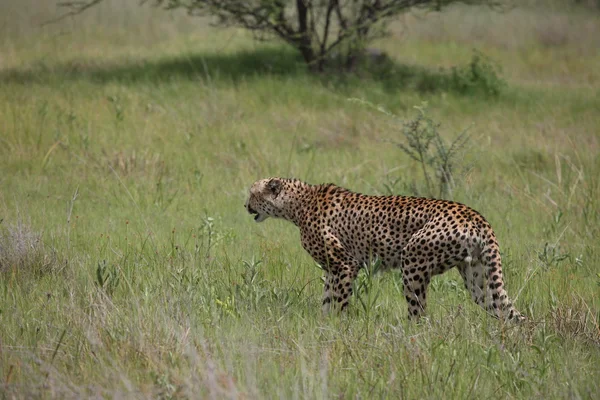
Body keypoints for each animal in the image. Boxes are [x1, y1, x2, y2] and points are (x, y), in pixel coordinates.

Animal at [244, 178, 524, 322]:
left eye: (252, 193)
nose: (245, 205)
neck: (298, 203)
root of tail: (474, 214)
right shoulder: (333, 269)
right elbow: (326, 299)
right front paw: (323, 326)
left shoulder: (345, 264)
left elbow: (338, 301)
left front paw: (337, 328)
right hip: (478, 278)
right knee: (506, 312)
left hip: (412, 261)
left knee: (419, 314)